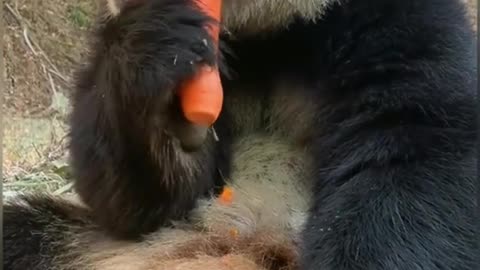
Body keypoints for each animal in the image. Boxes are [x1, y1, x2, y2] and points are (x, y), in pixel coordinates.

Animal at [2, 0, 476, 270]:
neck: (271, 35)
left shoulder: (394, 23)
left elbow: (410, 160)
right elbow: (148, 201)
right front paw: (156, 47)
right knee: (22, 234)